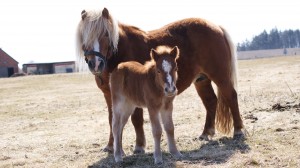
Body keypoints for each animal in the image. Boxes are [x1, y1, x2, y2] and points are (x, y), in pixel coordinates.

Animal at [76, 7, 245, 152]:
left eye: (105, 33)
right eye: (84, 35)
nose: (95, 64)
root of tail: (217, 27)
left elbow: (136, 119)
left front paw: (139, 146)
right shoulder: (109, 94)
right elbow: (112, 119)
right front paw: (111, 147)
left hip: (221, 76)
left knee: (231, 96)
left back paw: (238, 131)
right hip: (201, 80)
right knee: (210, 101)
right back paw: (206, 133)